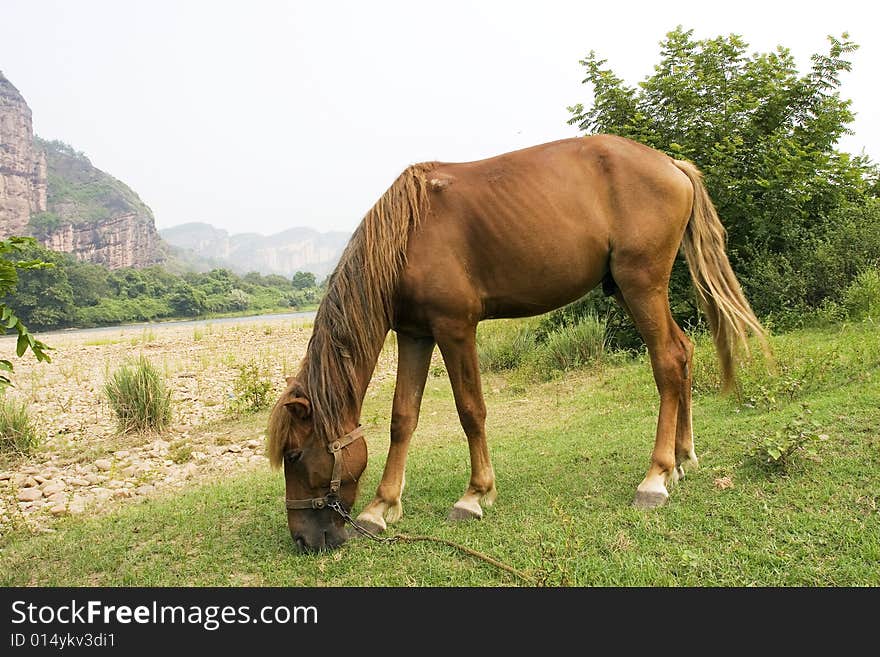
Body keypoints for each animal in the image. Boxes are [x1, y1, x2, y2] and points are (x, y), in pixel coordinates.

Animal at [264, 135, 768, 552]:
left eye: (293, 454)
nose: (304, 540)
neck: (407, 234)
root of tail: (671, 165)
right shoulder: (415, 334)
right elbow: (402, 418)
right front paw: (381, 507)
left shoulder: (455, 329)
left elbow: (470, 409)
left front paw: (474, 494)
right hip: (629, 290)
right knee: (683, 353)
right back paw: (683, 458)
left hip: (641, 284)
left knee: (666, 361)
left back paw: (656, 476)